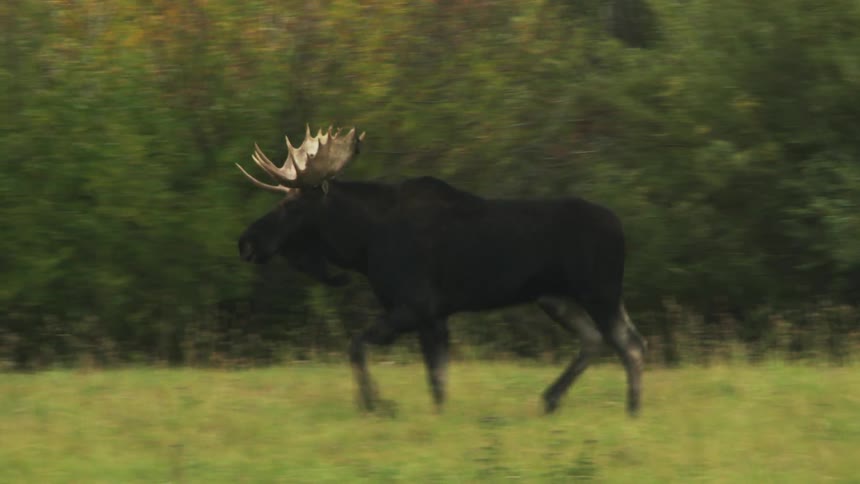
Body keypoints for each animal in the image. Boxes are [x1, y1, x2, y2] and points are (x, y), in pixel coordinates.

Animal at [236, 125, 647, 416]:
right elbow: (437, 381)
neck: (362, 245)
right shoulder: (433, 316)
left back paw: (631, 411)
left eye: (291, 205)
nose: (246, 242)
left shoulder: (415, 306)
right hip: (556, 297)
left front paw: (376, 405)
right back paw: (551, 400)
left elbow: (358, 346)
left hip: (599, 291)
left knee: (629, 344)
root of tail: (621, 227)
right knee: (595, 340)